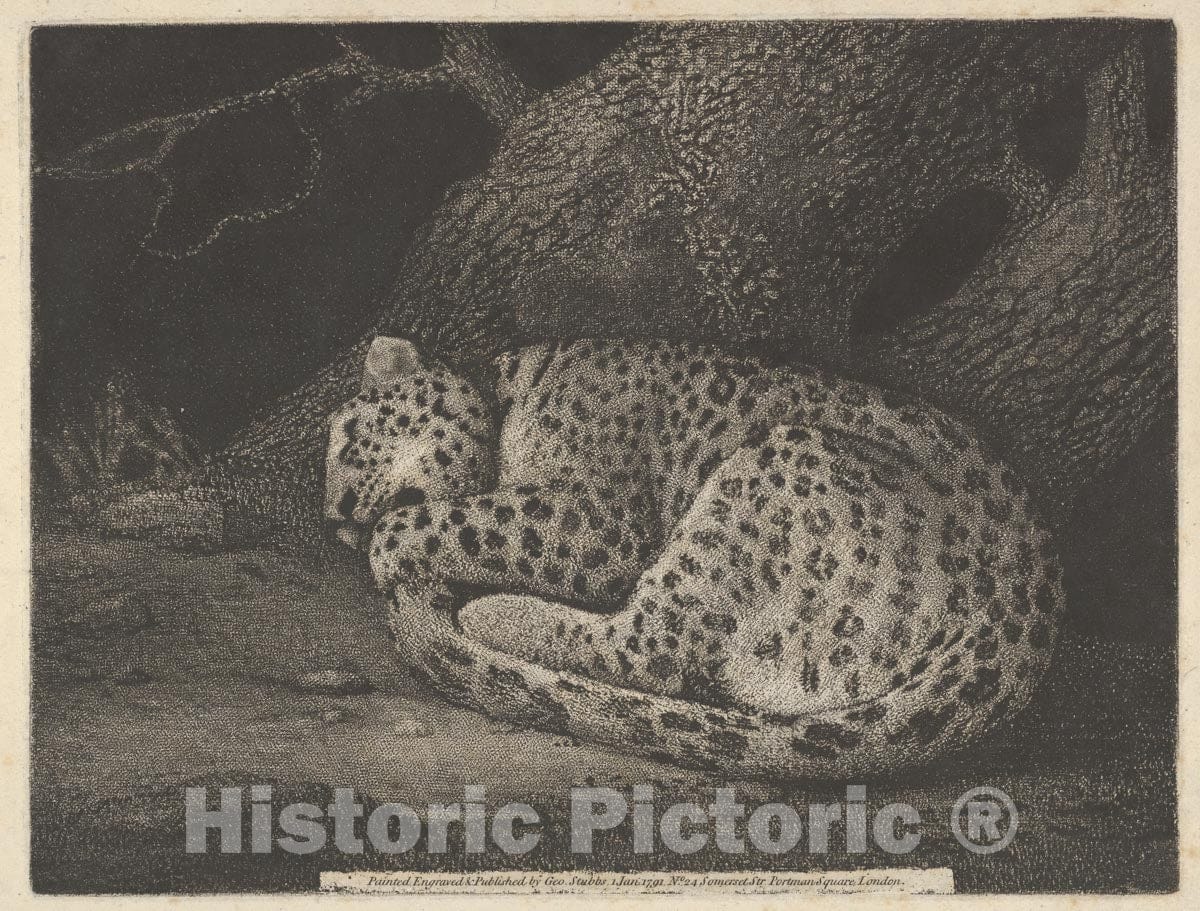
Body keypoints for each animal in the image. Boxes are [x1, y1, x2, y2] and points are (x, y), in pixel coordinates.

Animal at [325, 335, 1063, 779]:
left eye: (351, 438)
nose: (334, 519)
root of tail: (1023, 618)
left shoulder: (596, 522)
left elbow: (447, 518)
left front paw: (390, 549)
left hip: (768, 473)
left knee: (649, 648)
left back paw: (488, 613)